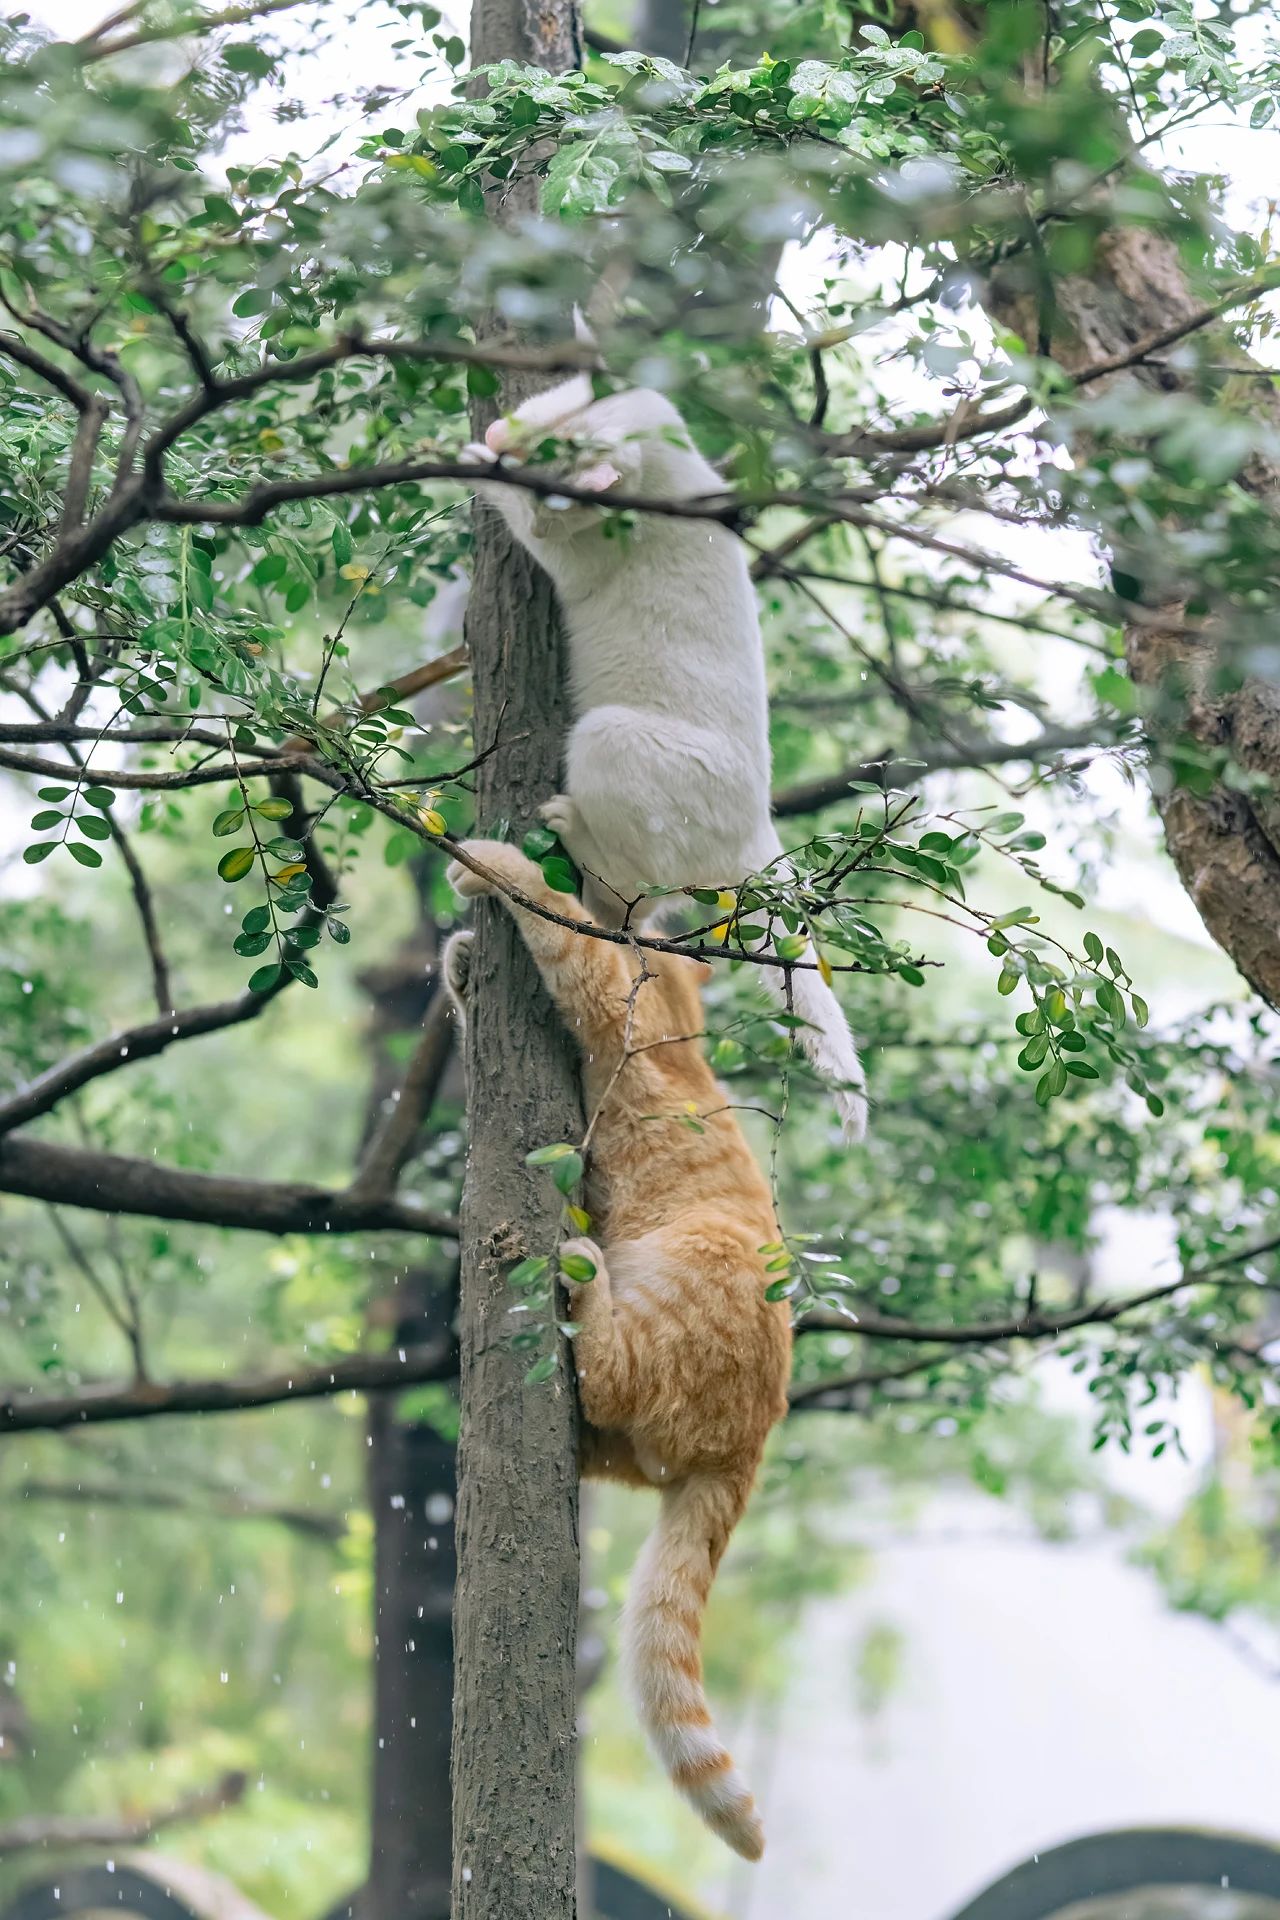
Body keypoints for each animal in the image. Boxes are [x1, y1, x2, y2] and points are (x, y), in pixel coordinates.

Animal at [449, 844, 790, 1858]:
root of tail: (752, 1445)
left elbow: (555, 921)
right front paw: (458, 965)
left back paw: (582, 1271)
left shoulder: (604, 996)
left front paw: (493, 865)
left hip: (673, 1279)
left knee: (604, 1377)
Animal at [466, 374, 867, 1136]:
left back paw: (570, 830)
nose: (505, 451)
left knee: (626, 894)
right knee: (634, 914)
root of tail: (758, 833)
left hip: (607, 738)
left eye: (557, 504)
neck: (656, 454)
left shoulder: (571, 551)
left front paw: (473, 462)